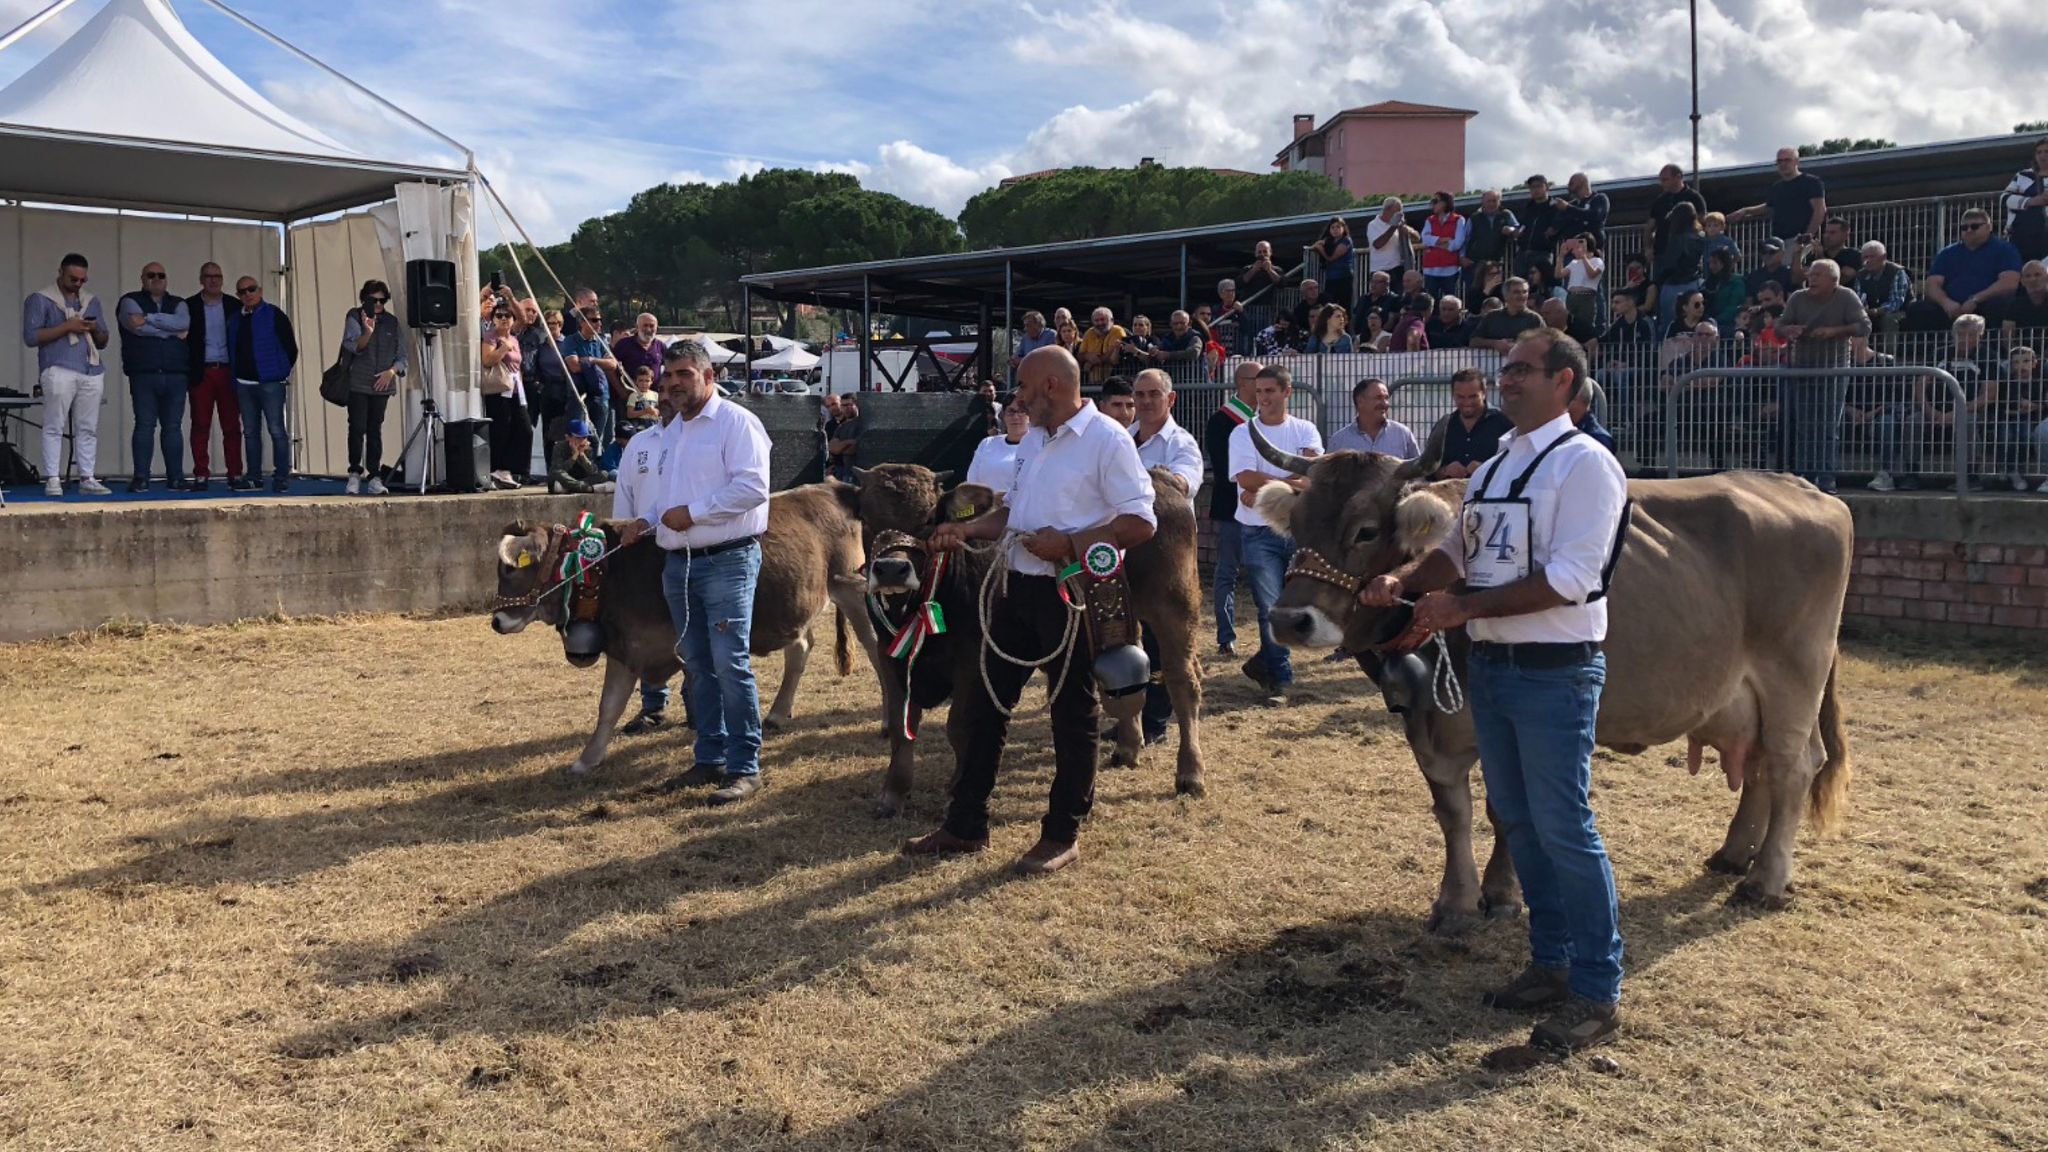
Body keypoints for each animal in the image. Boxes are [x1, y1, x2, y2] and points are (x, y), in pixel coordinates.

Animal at [497, 479, 888, 774]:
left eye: (512, 569)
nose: (497, 621)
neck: (612, 572)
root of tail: (833, 486)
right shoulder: (627, 648)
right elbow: (609, 706)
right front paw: (586, 760)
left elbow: (703, 696)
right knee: (801, 649)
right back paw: (777, 713)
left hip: (851, 589)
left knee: (874, 648)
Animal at [1245, 332, 1859, 942]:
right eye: (1297, 525)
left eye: (1366, 531)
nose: (1290, 620)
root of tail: (1798, 485)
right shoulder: (1427, 724)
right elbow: (1452, 811)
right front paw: (1455, 900)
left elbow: (1503, 809)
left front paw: (1500, 894)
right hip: (1746, 693)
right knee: (1759, 763)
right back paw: (1734, 855)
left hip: (1794, 674)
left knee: (1792, 764)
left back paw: (1765, 880)